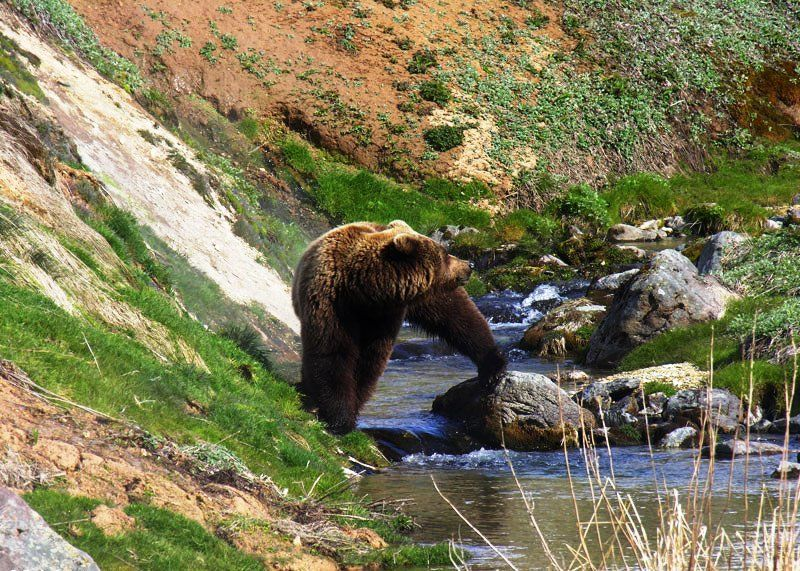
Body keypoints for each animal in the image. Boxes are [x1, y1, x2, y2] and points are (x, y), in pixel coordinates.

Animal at [294, 219, 506, 434]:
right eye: (445, 254)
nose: (468, 265)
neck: (362, 291)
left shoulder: (383, 319)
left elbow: (368, 363)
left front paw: (349, 412)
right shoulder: (332, 305)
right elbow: (333, 354)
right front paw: (340, 418)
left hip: (435, 296)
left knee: (459, 318)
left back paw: (492, 365)